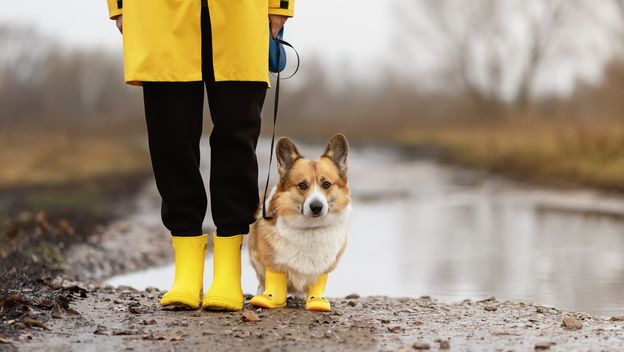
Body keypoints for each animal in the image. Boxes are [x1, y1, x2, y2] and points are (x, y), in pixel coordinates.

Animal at [251, 133, 354, 312]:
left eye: (326, 184)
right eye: (302, 185)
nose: (316, 207)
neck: (311, 229)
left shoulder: (323, 269)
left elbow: (316, 284)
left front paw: (317, 301)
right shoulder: (273, 263)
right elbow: (274, 280)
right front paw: (270, 298)